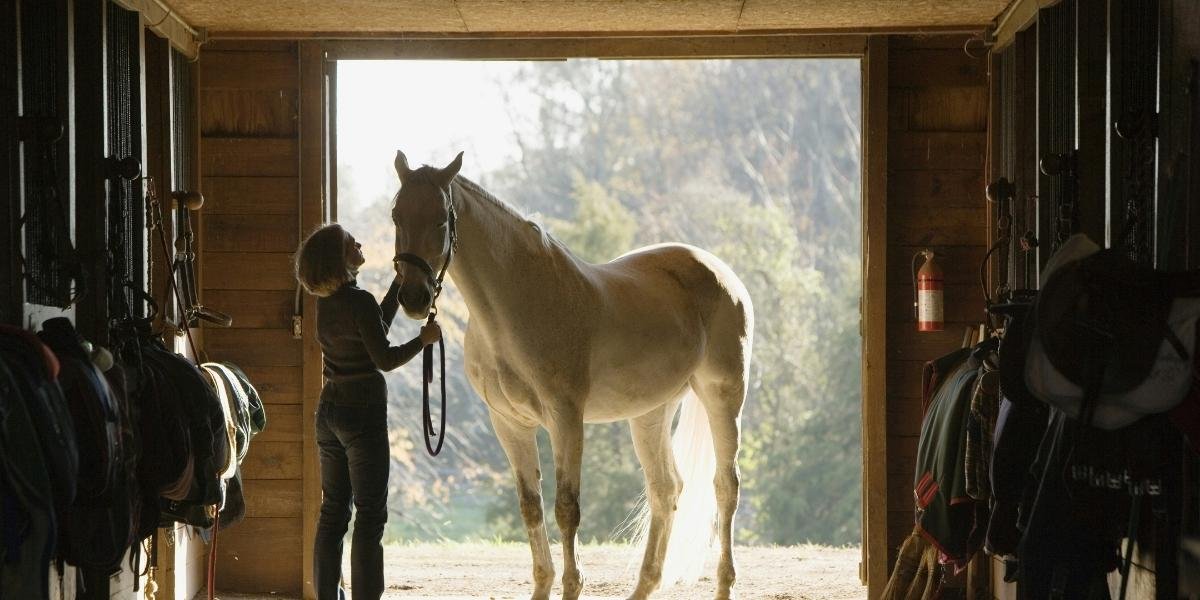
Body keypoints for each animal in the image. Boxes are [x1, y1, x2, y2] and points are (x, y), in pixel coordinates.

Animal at [389, 150, 754, 600]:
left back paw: (724, 582)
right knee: (665, 488)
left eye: (442, 220)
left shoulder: (566, 419)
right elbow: (531, 506)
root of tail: (721, 273)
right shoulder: (509, 423)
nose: (414, 298)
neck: (517, 305)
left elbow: (566, 508)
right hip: (651, 412)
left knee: (725, 487)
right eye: (396, 216)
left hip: (723, 396)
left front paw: (572, 584)